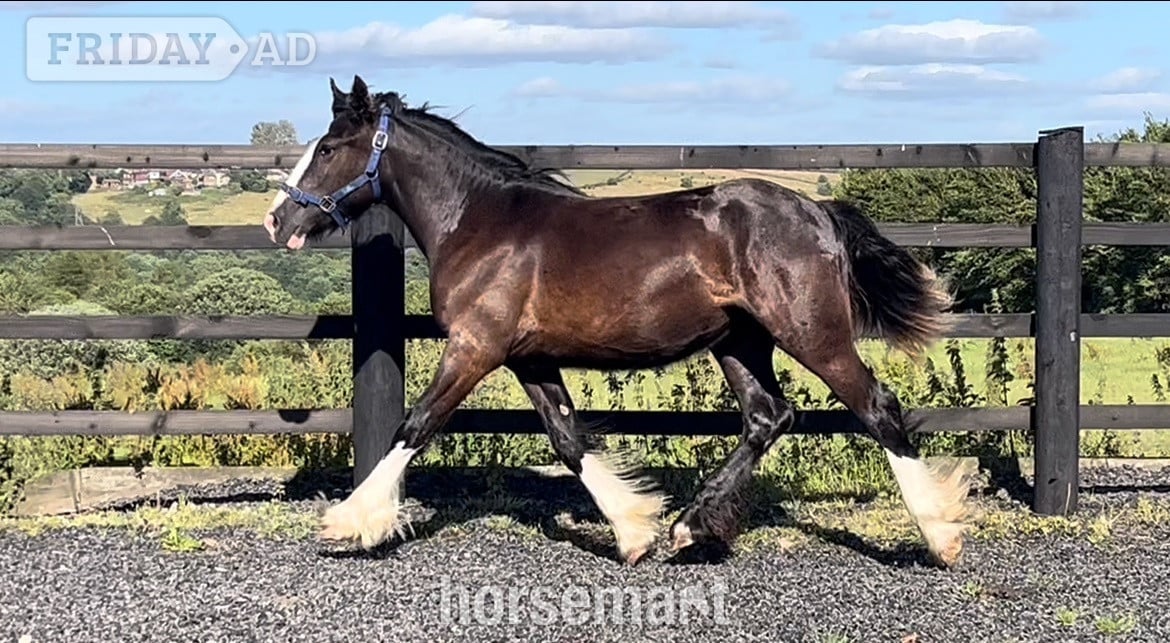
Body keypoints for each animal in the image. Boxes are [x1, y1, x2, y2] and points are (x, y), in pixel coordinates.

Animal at [263, 75, 972, 568]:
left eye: (328, 148)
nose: (278, 219)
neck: (480, 221)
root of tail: (818, 211)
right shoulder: (528, 356)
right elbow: (568, 438)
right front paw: (634, 532)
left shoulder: (475, 347)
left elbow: (416, 424)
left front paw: (350, 521)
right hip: (740, 343)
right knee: (769, 417)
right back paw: (690, 526)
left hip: (812, 334)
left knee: (878, 408)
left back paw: (940, 538)